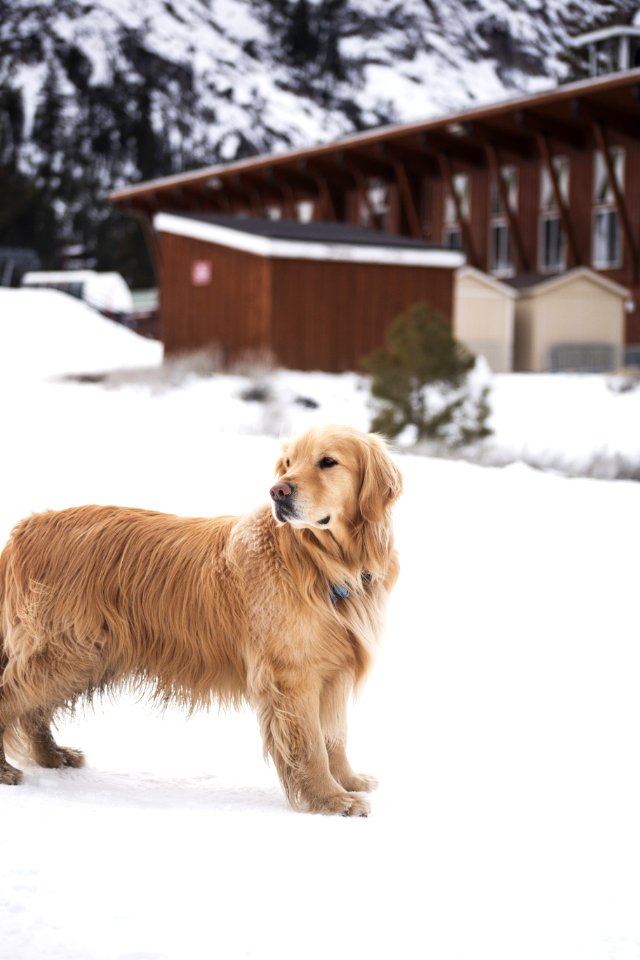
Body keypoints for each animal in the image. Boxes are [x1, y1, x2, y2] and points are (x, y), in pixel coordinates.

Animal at [0, 428, 400, 816]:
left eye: (328, 461)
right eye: (288, 463)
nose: (278, 491)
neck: (320, 562)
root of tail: (24, 528)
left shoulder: (334, 670)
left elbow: (335, 737)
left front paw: (347, 782)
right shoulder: (292, 675)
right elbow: (312, 745)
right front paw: (331, 800)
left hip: (86, 657)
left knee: (33, 712)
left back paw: (51, 755)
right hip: (67, 653)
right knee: (12, 697)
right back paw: (7, 769)